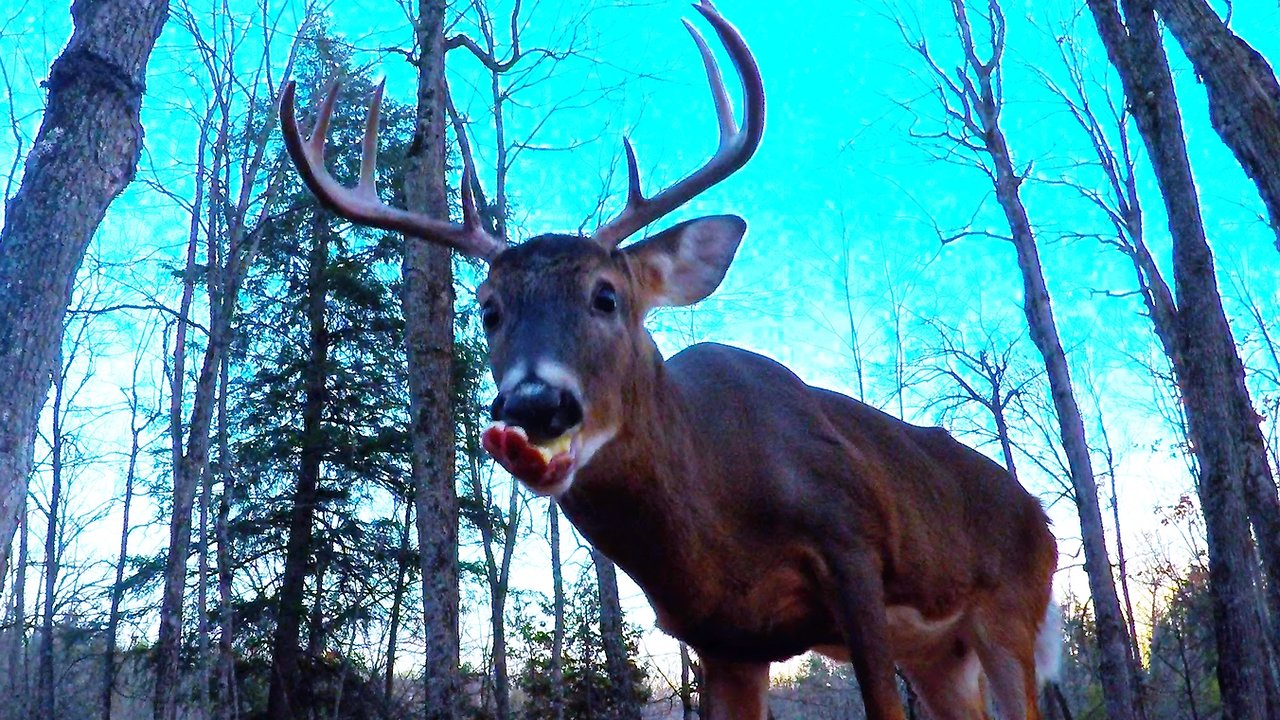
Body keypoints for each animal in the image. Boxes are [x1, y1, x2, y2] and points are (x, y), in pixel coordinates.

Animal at [280, 2, 1059, 712]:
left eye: (606, 295)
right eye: (488, 308)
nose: (535, 404)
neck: (716, 515)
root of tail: (1042, 516)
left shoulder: (853, 548)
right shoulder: (723, 638)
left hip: (1008, 612)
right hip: (940, 654)